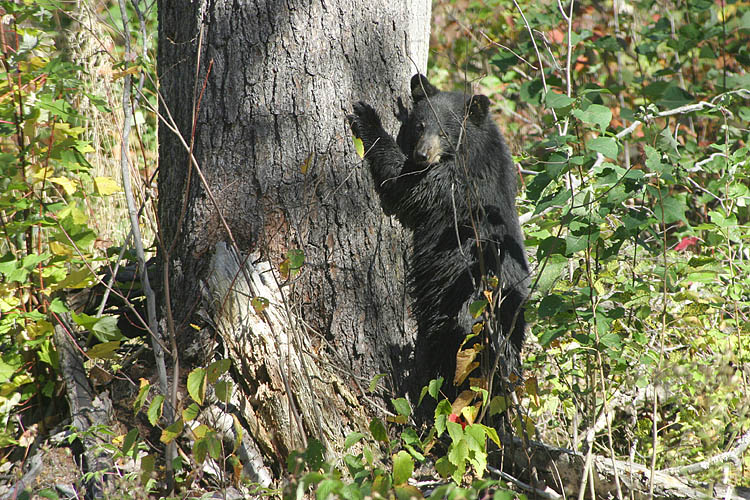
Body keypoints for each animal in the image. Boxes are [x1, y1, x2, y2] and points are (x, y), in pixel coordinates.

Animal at [348, 74, 530, 391]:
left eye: (445, 131)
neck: (474, 149)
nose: (422, 154)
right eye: (420, 125)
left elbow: (405, 181)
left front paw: (367, 116)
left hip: (462, 313)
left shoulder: (454, 184)